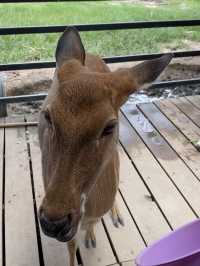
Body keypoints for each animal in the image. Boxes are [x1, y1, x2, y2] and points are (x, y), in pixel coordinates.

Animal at [38, 26, 173, 264]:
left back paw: (116, 215)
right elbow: (72, 247)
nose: (53, 222)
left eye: (109, 127)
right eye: (48, 115)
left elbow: (93, 223)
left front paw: (92, 237)